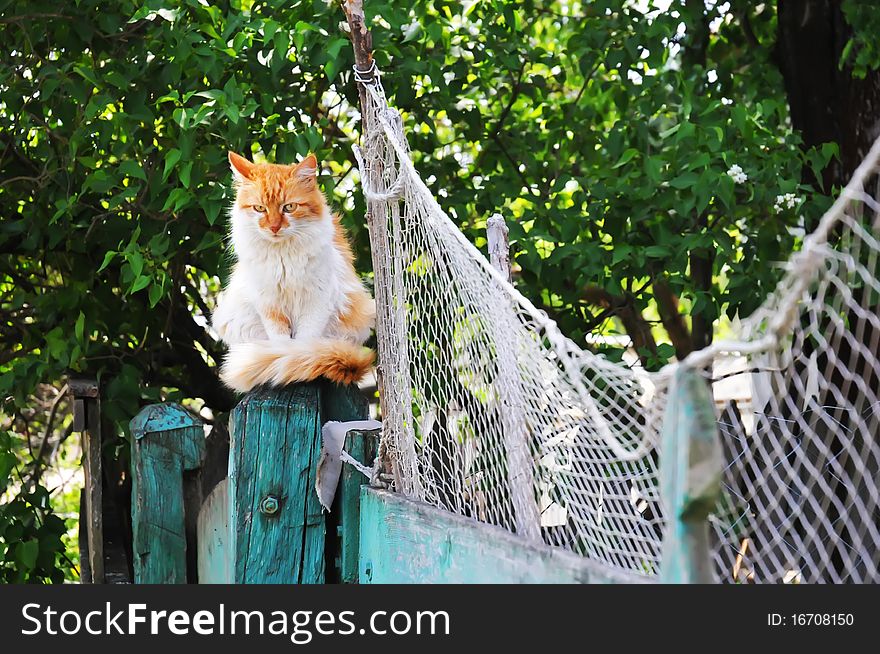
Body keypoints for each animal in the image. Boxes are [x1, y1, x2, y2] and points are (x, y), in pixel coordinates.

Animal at [215, 151, 376, 392]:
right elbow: (280, 341)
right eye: (259, 208)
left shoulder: (317, 301)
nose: (274, 227)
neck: (282, 256)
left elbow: (304, 341)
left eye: (289, 207)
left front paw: (299, 360)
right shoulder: (269, 305)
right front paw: (283, 358)